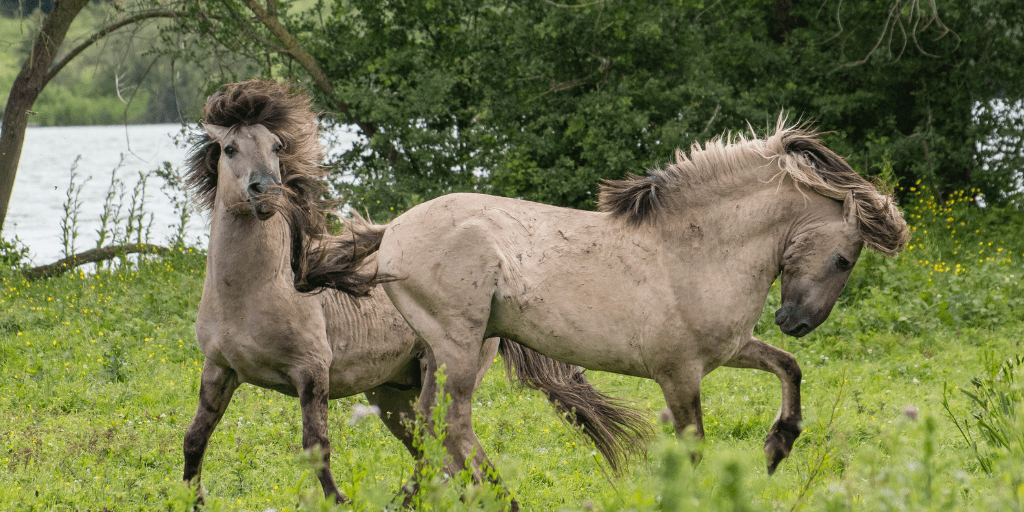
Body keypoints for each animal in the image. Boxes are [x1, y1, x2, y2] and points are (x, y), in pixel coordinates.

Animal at [181, 79, 651, 503]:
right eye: (229, 149)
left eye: (277, 147)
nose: (264, 191)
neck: (255, 292)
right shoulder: (219, 370)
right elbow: (195, 438)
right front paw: (192, 499)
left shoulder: (311, 373)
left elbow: (317, 448)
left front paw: (339, 501)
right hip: (391, 393)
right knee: (434, 450)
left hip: (437, 373)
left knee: (437, 451)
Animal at [299, 120, 913, 483]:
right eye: (845, 259)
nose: (796, 321)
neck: (693, 250)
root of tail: (393, 231)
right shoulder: (678, 374)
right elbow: (693, 443)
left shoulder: (730, 350)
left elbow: (789, 368)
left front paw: (778, 446)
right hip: (462, 347)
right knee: (453, 427)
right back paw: (496, 492)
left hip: (441, 353)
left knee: (427, 427)